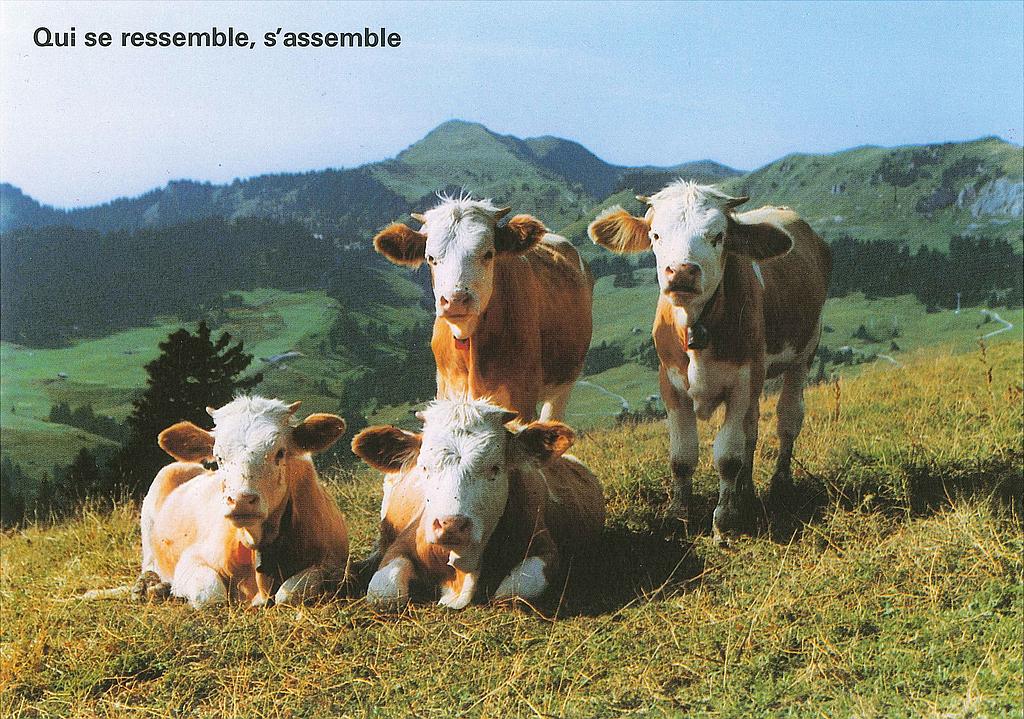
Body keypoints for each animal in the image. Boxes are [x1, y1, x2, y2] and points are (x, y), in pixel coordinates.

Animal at [136, 396, 349, 608]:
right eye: (219, 457)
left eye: (280, 452)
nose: (241, 500)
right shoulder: (191, 559)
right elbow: (211, 596)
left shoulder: (334, 563)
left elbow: (288, 594)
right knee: (149, 566)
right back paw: (153, 586)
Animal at [350, 397, 605, 610]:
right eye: (424, 467)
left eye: (495, 468)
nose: (451, 524)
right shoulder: (402, 545)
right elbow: (384, 595)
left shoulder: (544, 548)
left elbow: (509, 593)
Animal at [372, 195, 594, 421]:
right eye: (430, 258)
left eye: (488, 254)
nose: (455, 299)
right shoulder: (445, 391)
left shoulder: (520, 401)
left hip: (565, 382)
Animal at [588, 181, 831, 542]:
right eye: (656, 235)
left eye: (718, 236)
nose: (682, 271)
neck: (695, 324)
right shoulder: (670, 384)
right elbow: (682, 456)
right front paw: (679, 513)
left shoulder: (741, 384)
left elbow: (727, 456)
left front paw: (725, 520)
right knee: (752, 429)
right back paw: (746, 491)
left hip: (805, 351)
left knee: (788, 418)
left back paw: (779, 483)